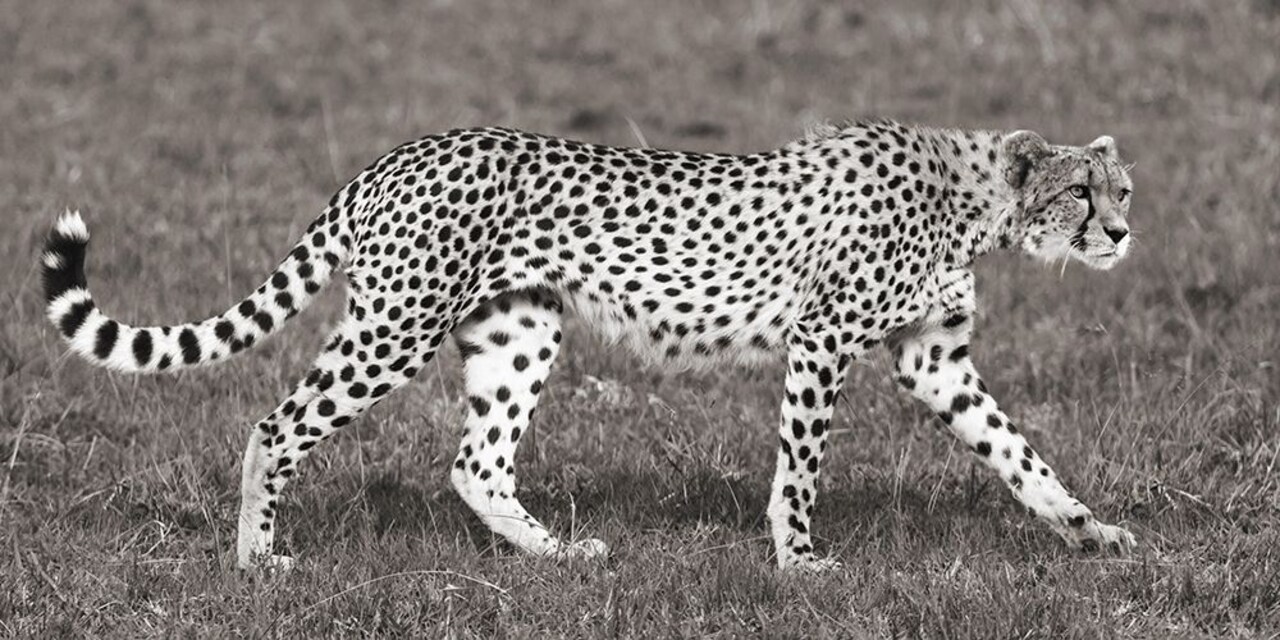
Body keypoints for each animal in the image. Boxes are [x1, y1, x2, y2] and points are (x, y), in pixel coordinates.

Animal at [41, 119, 1137, 572]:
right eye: (1082, 193)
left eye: (1120, 189)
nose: (1122, 234)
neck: (979, 199)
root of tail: (394, 154)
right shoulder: (822, 339)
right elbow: (800, 468)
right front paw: (798, 560)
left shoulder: (933, 358)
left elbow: (1020, 454)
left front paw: (1089, 532)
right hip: (395, 325)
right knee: (275, 425)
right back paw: (256, 557)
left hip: (521, 326)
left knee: (476, 463)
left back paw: (560, 555)